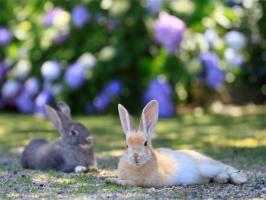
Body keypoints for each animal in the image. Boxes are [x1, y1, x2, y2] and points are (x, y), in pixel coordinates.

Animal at [106, 100, 247, 188]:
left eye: (145, 143)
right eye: (126, 145)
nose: (135, 157)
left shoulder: (144, 182)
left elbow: (130, 182)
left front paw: (112, 180)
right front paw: (110, 179)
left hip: (207, 166)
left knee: (226, 166)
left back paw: (239, 179)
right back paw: (223, 179)